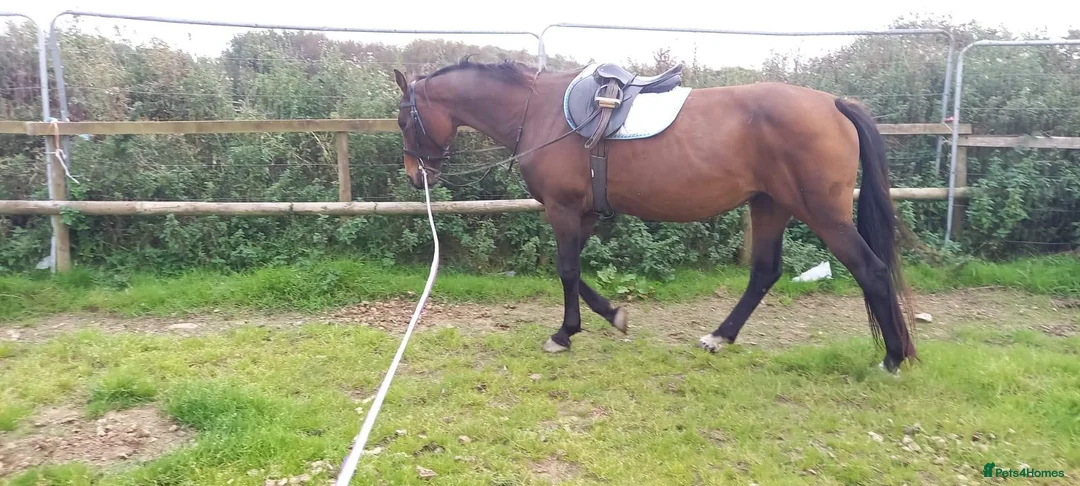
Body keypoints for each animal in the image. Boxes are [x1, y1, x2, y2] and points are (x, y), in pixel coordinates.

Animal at [390, 57, 917, 373]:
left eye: (401, 118)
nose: (415, 175)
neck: (537, 111)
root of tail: (833, 104)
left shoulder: (563, 209)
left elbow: (566, 270)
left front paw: (564, 333)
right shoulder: (584, 213)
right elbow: (577, 272)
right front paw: (613, 316)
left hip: (822, 212)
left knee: (870, 270)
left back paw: (892, 357)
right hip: (770, 205)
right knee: (765, 272)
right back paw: (719, 337)